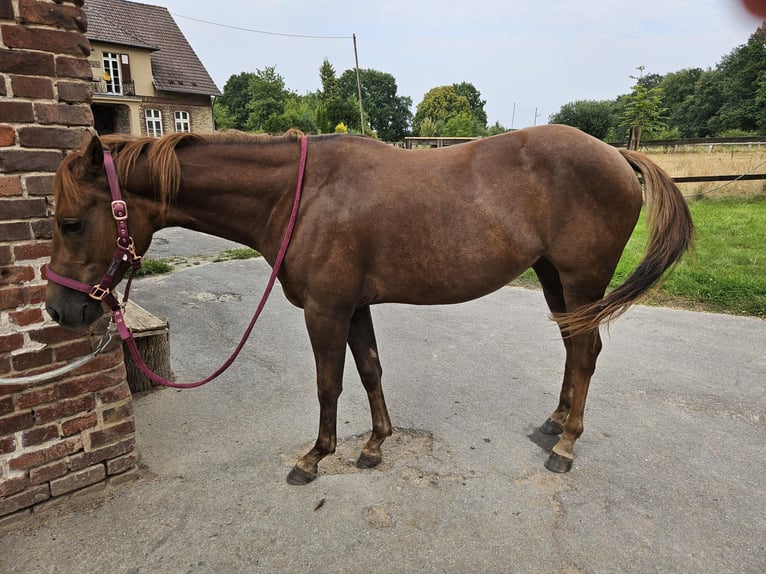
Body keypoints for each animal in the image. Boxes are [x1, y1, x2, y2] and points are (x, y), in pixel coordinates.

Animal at [45, 125, 693, 484]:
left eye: (71, 222)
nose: (60, 310)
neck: (303, 195)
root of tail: (615, 154)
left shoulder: (325, 311)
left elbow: (329, 383)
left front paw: (315, 456)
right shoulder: (354, 307)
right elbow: (370, 369)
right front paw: (377, 444)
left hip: (582, 279)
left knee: (585, 351)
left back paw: (566, 444)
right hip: (555, 277)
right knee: (572, 345)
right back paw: (555, 421)